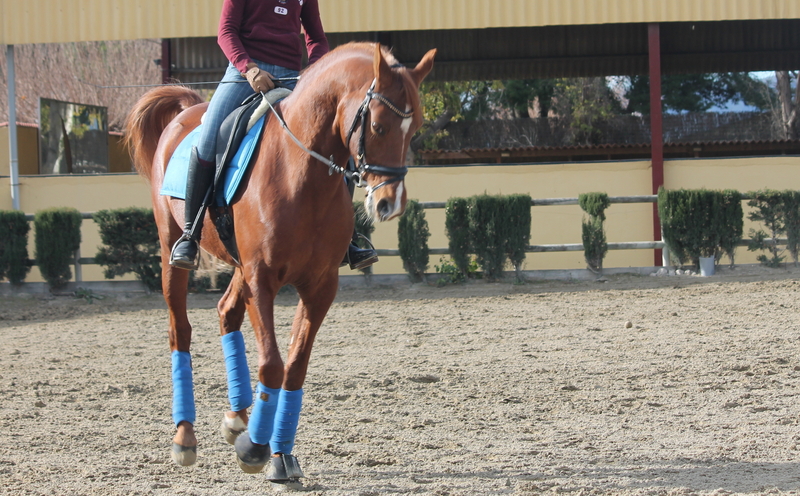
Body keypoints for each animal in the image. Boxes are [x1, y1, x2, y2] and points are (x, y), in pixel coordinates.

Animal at [124, 42, 435, 487]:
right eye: (377, 126)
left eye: (416, 128)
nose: (389, 204)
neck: (301, 175)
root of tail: (188, 110)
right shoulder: (262, 279)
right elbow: (271, 364)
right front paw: (254, 450)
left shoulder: (320, 287)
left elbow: (295, 367)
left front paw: (280, 455)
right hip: (173, 253)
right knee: (179, 331)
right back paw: (185, 437)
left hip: (238, 266)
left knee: (226, 312)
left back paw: (237, 417)